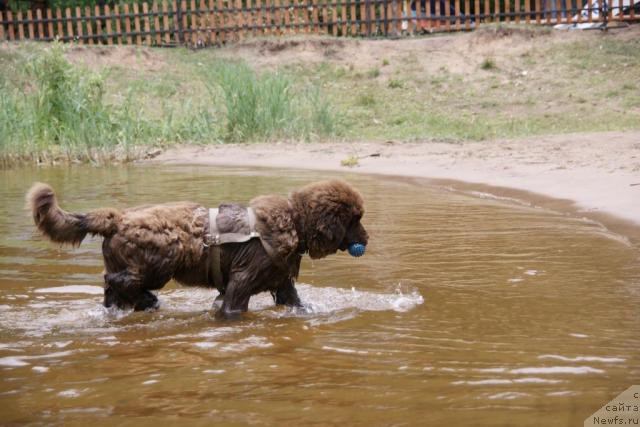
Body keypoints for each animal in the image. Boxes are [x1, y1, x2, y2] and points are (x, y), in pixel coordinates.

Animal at [27, 180, 368, 318]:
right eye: (355, 219)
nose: (367, 238)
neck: (294, 221)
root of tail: (116, 218)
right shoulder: (242, 280)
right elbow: (232, 306)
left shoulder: (282, 283)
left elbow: (295, 301)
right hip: (160, 261)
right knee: (118, 281)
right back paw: (147, 301)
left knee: (113, 288)